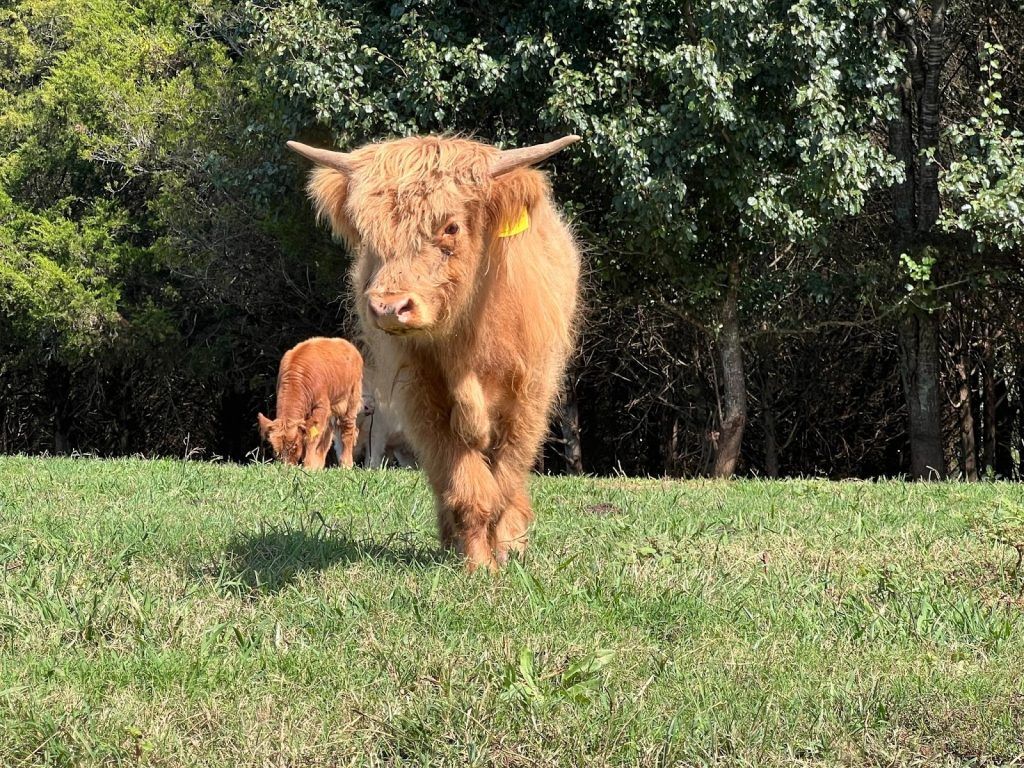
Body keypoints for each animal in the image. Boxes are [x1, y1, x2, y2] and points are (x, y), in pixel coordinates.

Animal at [257, 336, 363, 470]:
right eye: (276, 451)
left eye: (294, 446)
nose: (287, 467)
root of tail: (347, 344)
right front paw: (314, 466)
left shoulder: (321, 407)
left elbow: (312, 437)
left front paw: (309, 466)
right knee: (327, 435)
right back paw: (320, 464)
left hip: (351, 401)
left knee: (347, 431)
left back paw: (346, 465)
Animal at [288, 134, 582, 570]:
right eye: (366, 232)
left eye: (451, 226)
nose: (389, 307)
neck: (467, 348)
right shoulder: (424, 397)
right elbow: (465, 484)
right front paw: (477, 563)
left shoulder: (529, 394)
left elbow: (507, 475)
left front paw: (507, 547)